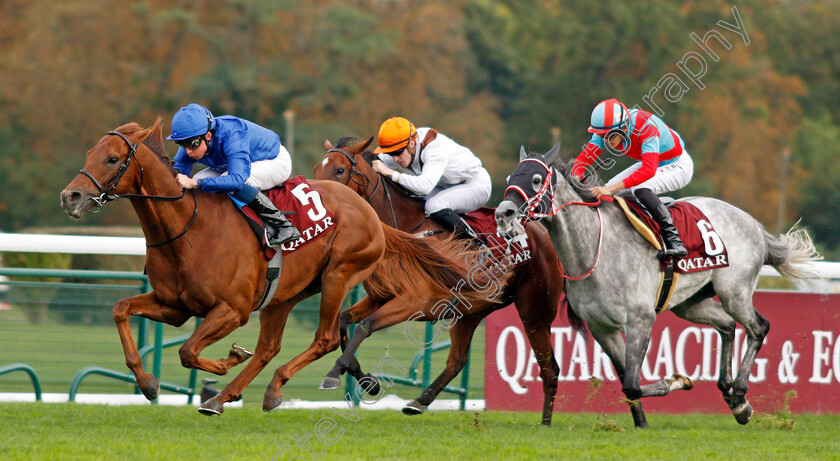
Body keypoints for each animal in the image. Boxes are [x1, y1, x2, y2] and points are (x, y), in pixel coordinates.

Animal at [59, 119, 476, 416]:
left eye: (113, 159)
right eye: (91, 152)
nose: (70, 197)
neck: (188, 227)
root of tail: (370, 212)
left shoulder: (232, 310)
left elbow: (189, 352)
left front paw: (226, 360)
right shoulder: (174, 306)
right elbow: (121, 310)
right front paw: (148, 382)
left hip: (339, 275)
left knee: (325, 337)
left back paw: (276, 386)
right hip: (284, 295)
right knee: (270, 348)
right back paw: (232, 396)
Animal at [316, 136, 576, 424]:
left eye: (340, 170)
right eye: (318, 167)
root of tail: (546, 238)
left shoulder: (414, 303)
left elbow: (365, 326)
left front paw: (335, 374)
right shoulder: (379, 297)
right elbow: (343, 321)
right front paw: (367, 381)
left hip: (534, 312)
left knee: (550, 368)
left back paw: (545, 422)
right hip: (470, 312)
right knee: (457, 360)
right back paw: (418, 401)